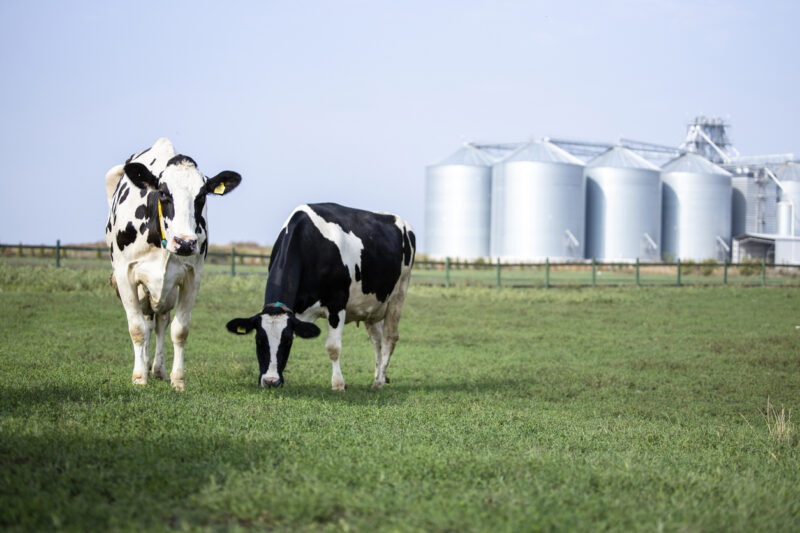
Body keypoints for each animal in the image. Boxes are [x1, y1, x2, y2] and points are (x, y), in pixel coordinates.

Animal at [105, 138, 241, 391]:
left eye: (202, 196)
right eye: (163, 193)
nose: (185, 242)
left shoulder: (192, 276)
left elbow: (179, 330)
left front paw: (178, 380)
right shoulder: (125, 274)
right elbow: (137, 328)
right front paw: (139, 377)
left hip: (166, 293)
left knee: (160, 323)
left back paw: (157, 369)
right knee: (147, 322)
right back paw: (146, 364)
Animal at [225, 203, 415, 390]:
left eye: (287, 341)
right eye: (258, 340)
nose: (271, 381)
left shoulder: (337, 303)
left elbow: (333, 347)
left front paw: (338, 384)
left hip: (399, 294)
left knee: (390, 337)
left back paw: (379, 381)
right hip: (371, 306)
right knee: (377, 340)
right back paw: (378, 376)